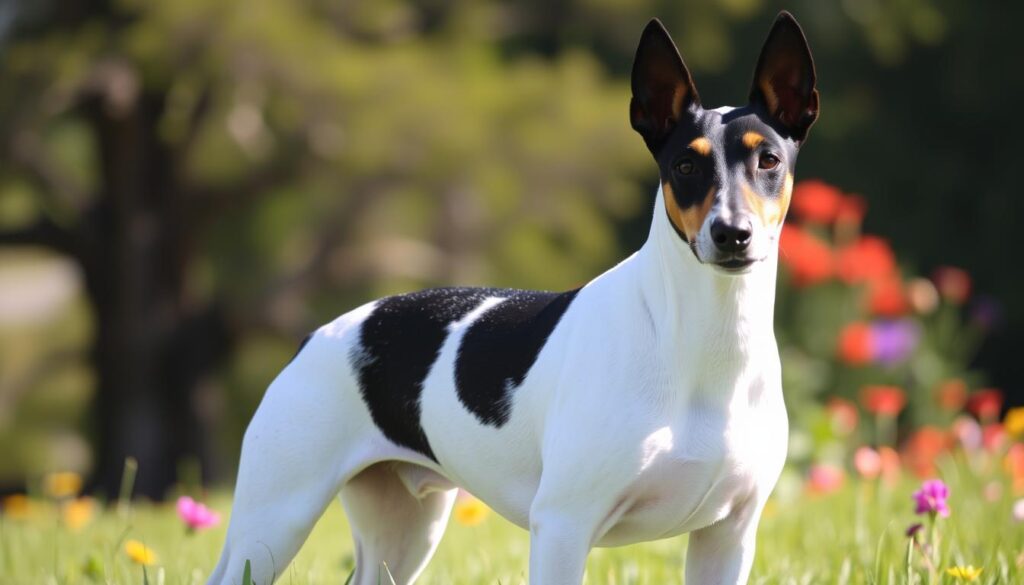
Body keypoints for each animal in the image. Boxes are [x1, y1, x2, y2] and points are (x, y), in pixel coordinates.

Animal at [209, 10, 823, 585]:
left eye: (768, 160)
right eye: (686, 165)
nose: (731, 233)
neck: (700, 341)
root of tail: (317, 335)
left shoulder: (729, 536)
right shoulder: (563, 526)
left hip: (402, 532)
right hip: (274, 523)